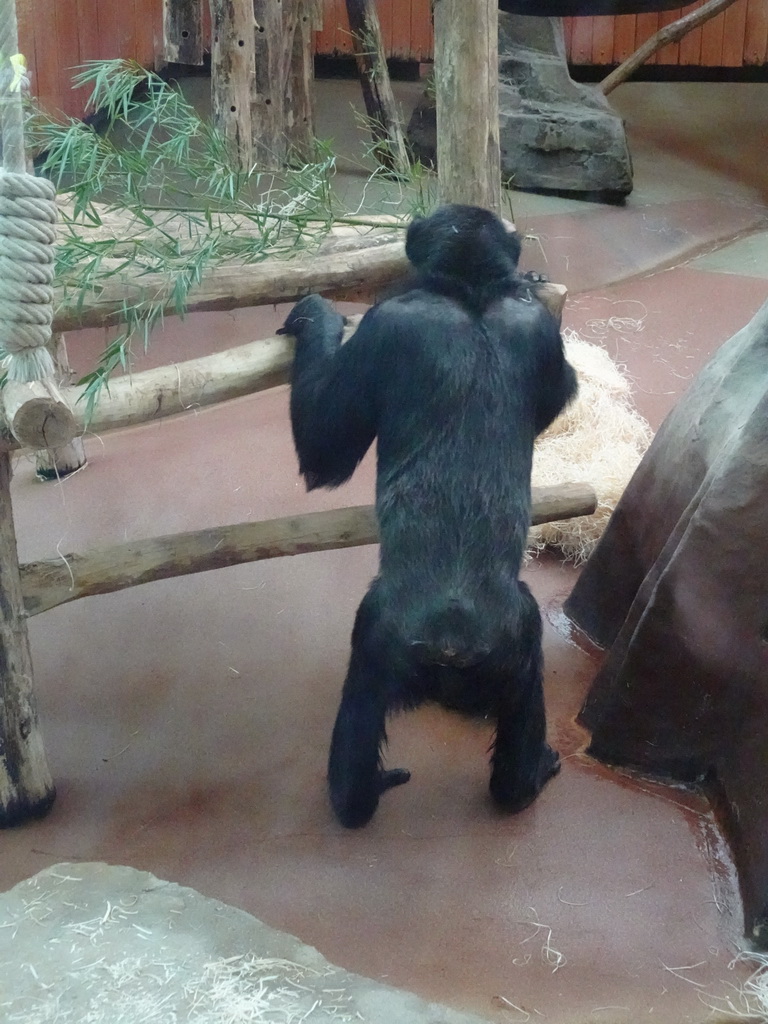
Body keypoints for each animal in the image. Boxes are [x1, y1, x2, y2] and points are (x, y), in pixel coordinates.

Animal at [280, 203, 577, 827]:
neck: (467, 289)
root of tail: (453, 637)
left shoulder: (384, 325)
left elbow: (324, 453)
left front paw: (317, 317)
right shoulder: (539, 330)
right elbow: (560, 389)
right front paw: (532, 276)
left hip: (385, 633)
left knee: (360, 704)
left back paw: (360, 794)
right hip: (516, 639)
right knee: (523, 706)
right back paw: (522, 779)